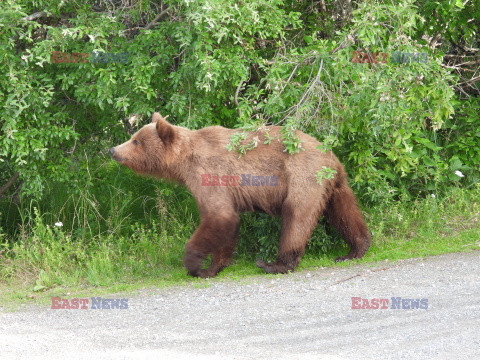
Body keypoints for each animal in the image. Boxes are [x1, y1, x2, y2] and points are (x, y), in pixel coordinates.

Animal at [109, 114, 372, 278]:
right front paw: (215, 266)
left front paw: (195, 265)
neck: (183, 161)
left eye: (135, 141)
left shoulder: (209, 174)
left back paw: (275, 264)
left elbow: (220, 216)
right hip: (334, 184)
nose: (113, 150)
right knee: (344, 212)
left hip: (302, 176)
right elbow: (227, 223)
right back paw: (355, 249)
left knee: (296, 216)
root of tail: (330, 155)